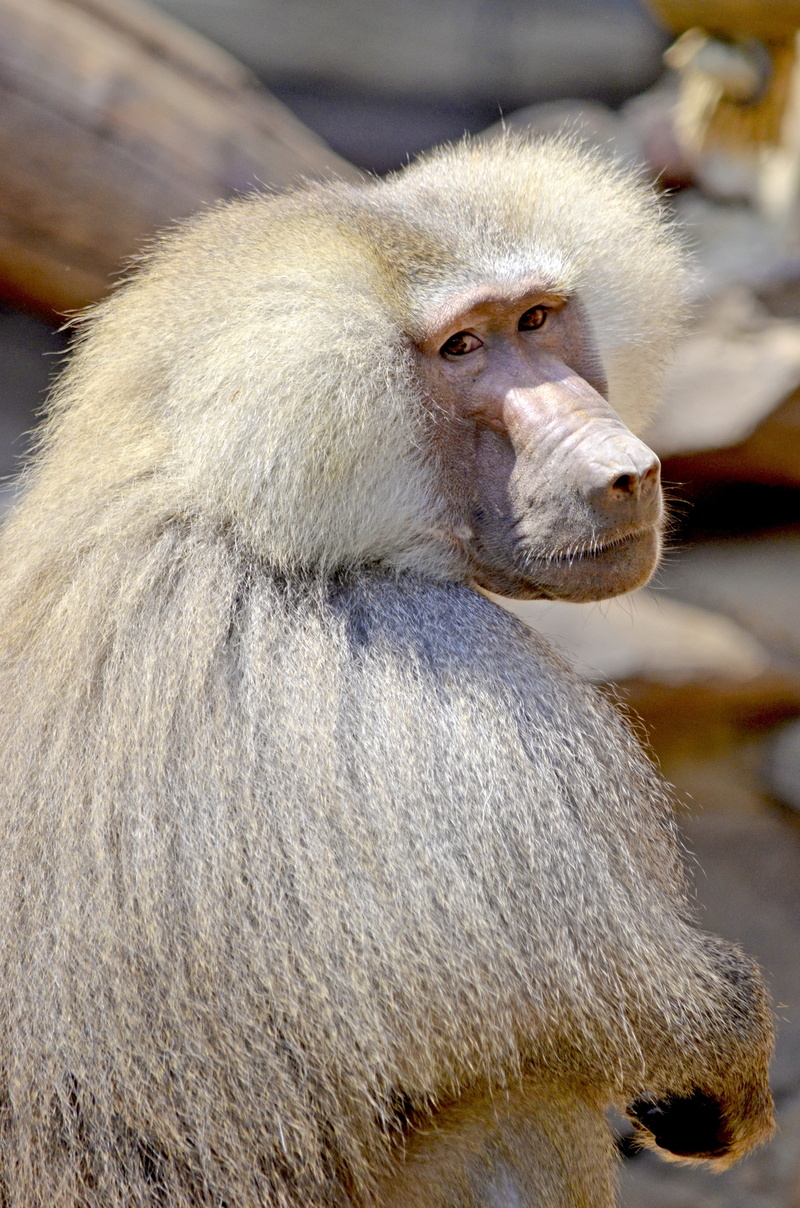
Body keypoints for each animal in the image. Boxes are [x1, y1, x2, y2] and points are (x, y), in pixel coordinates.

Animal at [0, 135, 774, 1208]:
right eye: (462, 349)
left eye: (538, 319)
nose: (628, 474)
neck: (216, 488)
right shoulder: (459, 680)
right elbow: (625, 1001)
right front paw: (727, 1054)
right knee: (532, 1106)